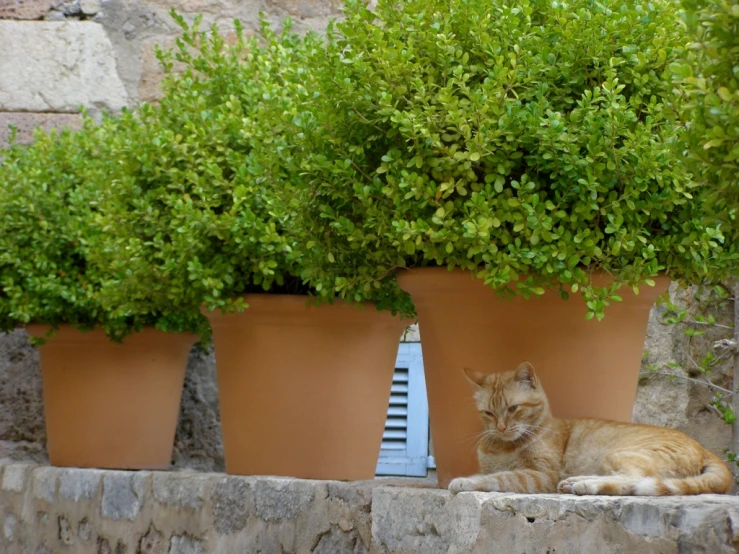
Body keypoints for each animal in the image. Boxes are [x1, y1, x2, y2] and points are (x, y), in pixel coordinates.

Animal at [446, 360, 736, 494]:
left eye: (513, 408)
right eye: (488, 413)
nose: (502, 427)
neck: (503, 447)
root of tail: (704, 449)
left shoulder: (542, 475)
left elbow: (501, 477)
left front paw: (464, 481)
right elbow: (488, 473)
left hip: (619, 454)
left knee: (636, 481)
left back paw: (585, 485)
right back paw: (577, 482)